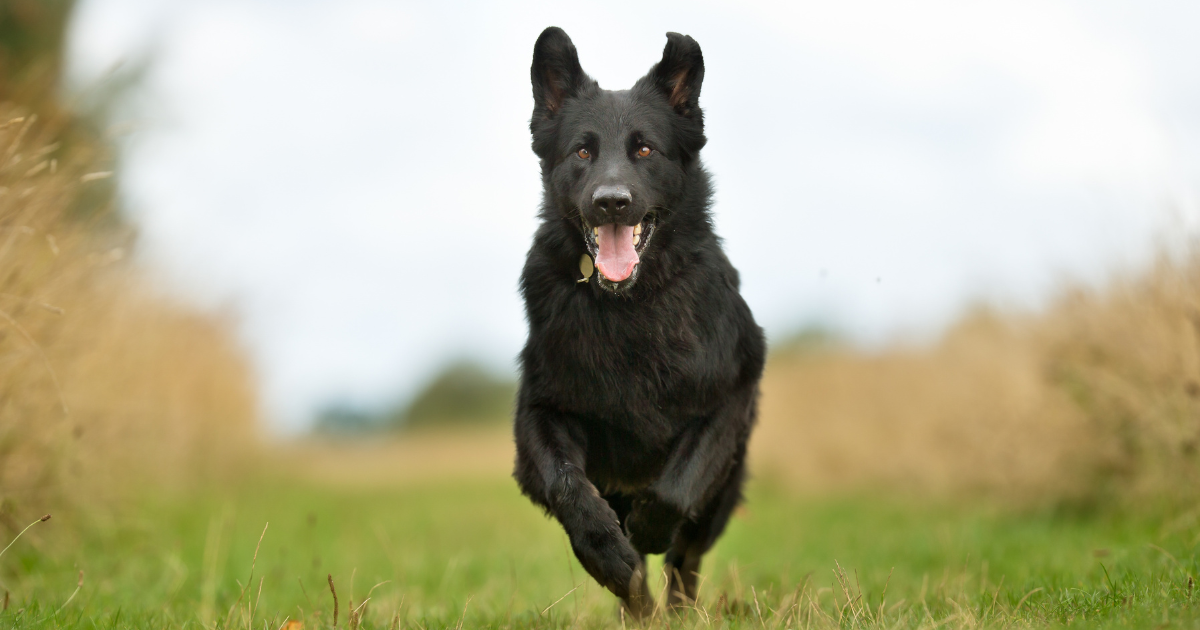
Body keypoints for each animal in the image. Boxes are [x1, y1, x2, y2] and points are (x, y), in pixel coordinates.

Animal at [513, 27, 758, 614]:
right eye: (583, 150)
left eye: (644, 149)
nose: (611, 202)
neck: (629, 306)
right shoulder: (540, 411)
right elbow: (567, 485)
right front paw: (608, 554)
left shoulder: (728, 397)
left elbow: (677, 486)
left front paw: (648, 528)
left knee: (686, 561)